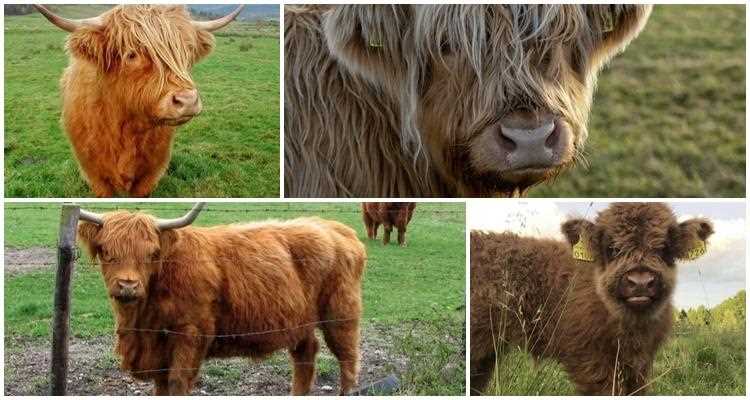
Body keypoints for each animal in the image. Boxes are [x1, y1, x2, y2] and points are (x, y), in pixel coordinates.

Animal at [76, 203, 366, 395]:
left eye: (152, 253)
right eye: (105, 251)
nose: (128, 285)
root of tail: (336, 228)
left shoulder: (191, 334)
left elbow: (177, 383)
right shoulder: (158, 348)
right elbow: (161, 386)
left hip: (340, 313)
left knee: (348, 358)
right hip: (301, 320)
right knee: (306, 356)